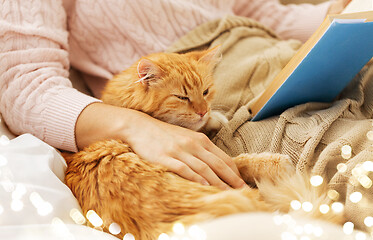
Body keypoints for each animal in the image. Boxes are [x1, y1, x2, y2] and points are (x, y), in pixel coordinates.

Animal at [62, 47, 342, 240]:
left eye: (205, 92)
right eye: (182, 97)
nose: (202, 111)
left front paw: (213, 118)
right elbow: (238, 161)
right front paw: (274, 162)